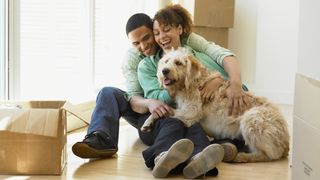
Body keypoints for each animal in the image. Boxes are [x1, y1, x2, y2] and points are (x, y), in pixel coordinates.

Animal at [141, 47, 290, 163]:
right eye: (166, 61)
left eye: (178, 63)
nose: (164, 71)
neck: (191, 82)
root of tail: (287, 142)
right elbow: (162, 110)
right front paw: (148, 123)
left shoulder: (191, 112)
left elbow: (167, 112)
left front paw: (149, 120)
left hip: (251, 118)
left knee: (270, 155)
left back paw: (241, 157)